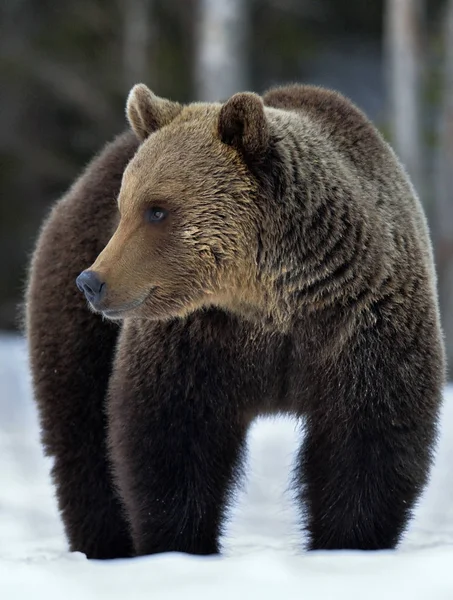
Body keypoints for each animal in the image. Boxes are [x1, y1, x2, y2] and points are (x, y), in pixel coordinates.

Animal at [23, 82, 442, 560]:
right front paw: (178, 545)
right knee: (80, 429)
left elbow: (368, 440)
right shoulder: (195, 341)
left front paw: (348, 544)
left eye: (157, 209)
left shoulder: (361, 325)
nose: (92, 281)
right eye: (125, 206)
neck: (269, 302)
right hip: (75, 308)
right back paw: (105, 543)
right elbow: (171, 439)